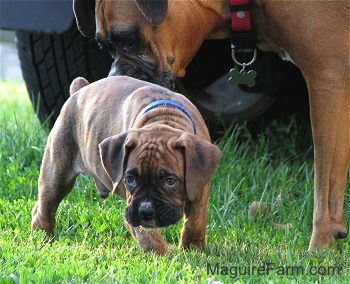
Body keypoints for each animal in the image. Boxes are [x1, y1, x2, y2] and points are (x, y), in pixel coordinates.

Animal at [30, 75, 221, 253]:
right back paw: (43, 238)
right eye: (130, 179)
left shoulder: (200, 188)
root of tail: (79, 90)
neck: (164, 118)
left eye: (170, 182)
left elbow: (195, 220)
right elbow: (149, 237)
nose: (145, 211)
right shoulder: (133, 209)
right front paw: (164, 256)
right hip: (56, 174)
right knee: (44, 209)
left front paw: (193, 249)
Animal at [72, 0, 350, 253]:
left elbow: (324, 187)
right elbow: (334, 186)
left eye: (128, 39)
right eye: (103, 46)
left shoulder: (327, 81)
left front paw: (318, 249)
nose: (113, 81)